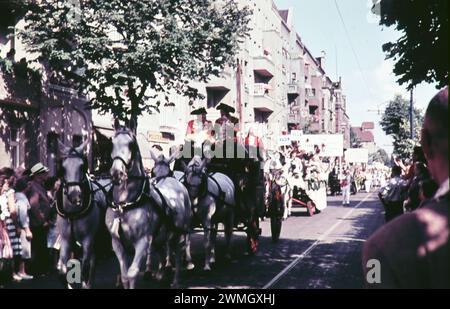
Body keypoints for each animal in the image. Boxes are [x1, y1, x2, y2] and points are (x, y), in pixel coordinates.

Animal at [55, 138, 105, 288]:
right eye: (63, 167)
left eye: (82, 166)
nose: (75, 195)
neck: (73, 214)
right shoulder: (66, 239)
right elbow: (64, 270)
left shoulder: (88, 239)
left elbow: (85, 269)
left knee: (91, 262)